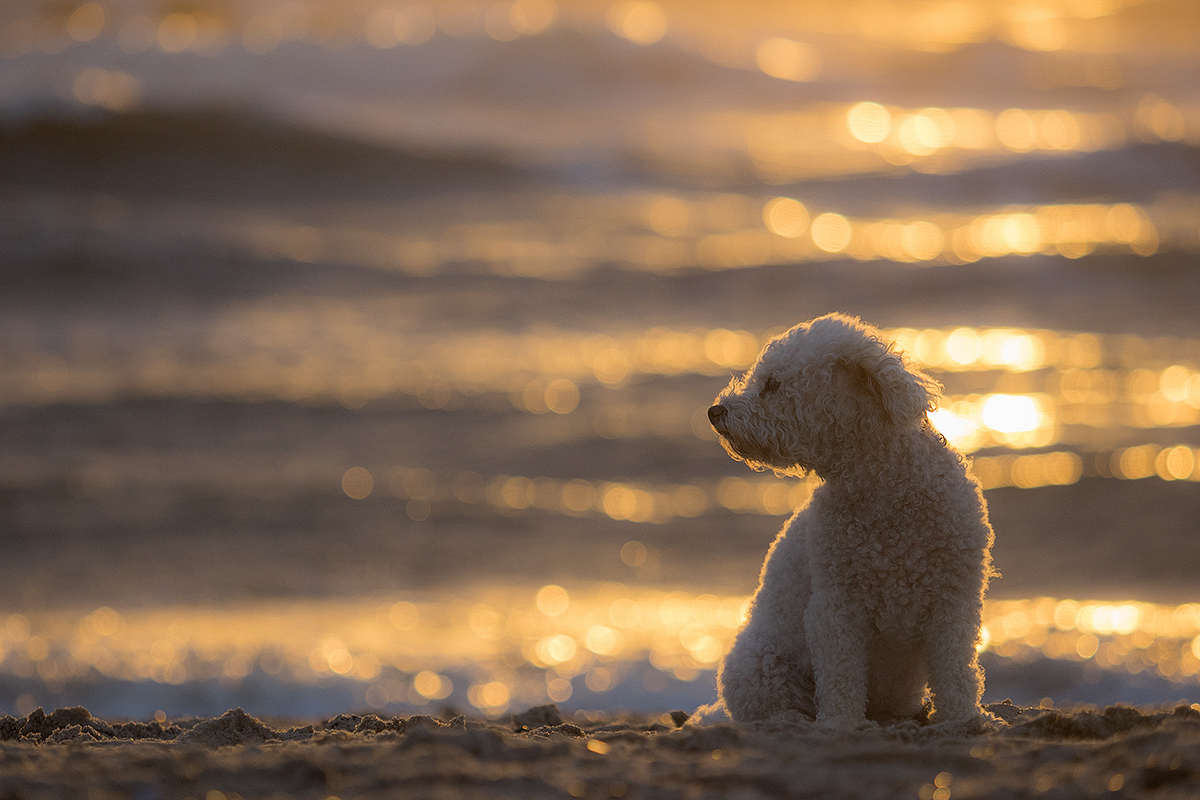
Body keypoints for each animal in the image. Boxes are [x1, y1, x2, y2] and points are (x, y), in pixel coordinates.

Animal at [705, 314, 998, 734]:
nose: (715, 411)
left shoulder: (953, 601)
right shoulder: (836, 606)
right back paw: (792, 721)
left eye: (772, 384)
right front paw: (840, 724)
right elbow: (841, 674)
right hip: (756, 668)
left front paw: (962, 719)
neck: (883, 488)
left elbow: (955, 670)